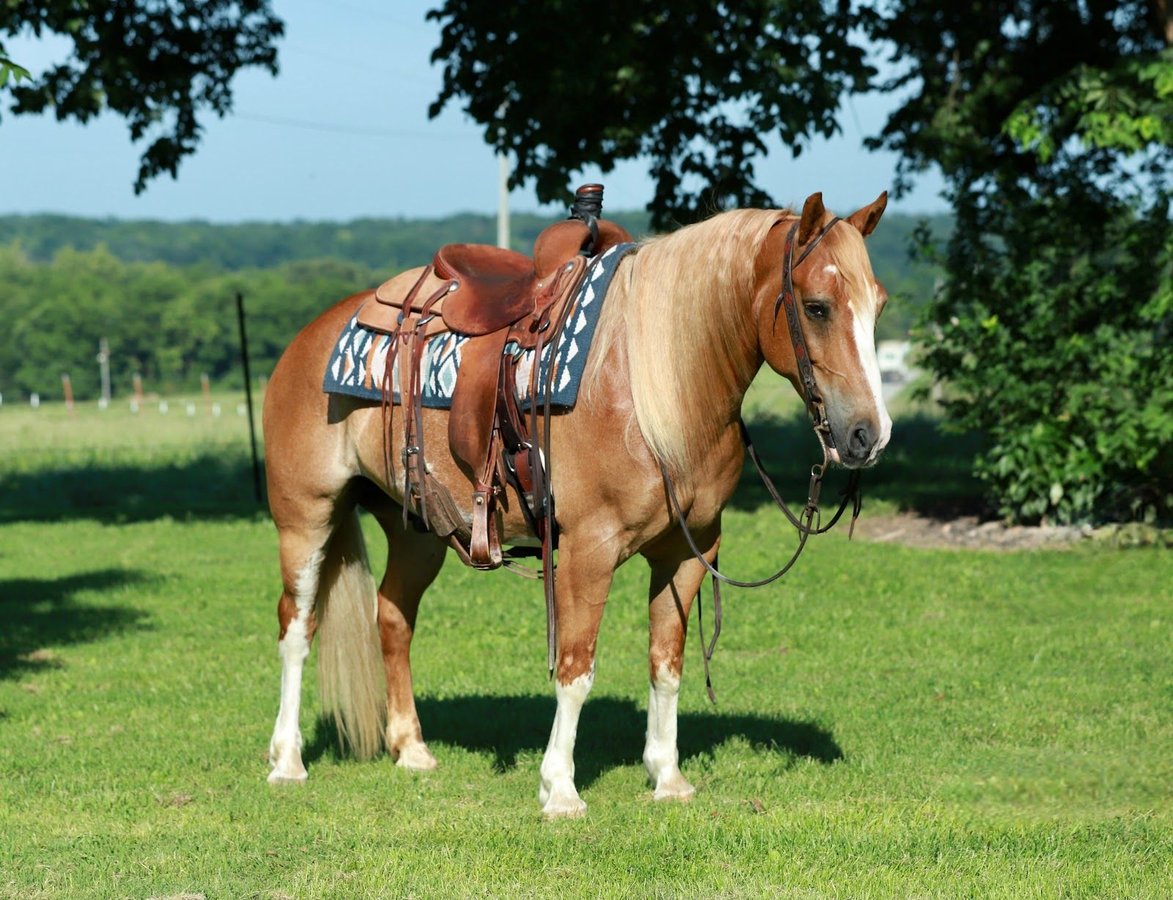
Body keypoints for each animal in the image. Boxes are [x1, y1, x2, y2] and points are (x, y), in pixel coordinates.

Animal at [261, 190, 892, 818]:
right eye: (816, 307)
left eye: (878, 306)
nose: (869, 435)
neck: (653, 387)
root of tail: (314, 332)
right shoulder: (590, 551)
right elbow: (576, 668)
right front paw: (560, 789)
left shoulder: (687, 553)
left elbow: (666, 664)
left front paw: (667, 777)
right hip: (306, 518)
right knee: (297, 626)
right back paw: (288, 760)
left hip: (417, 530)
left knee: (392, 617)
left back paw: (411, 748)